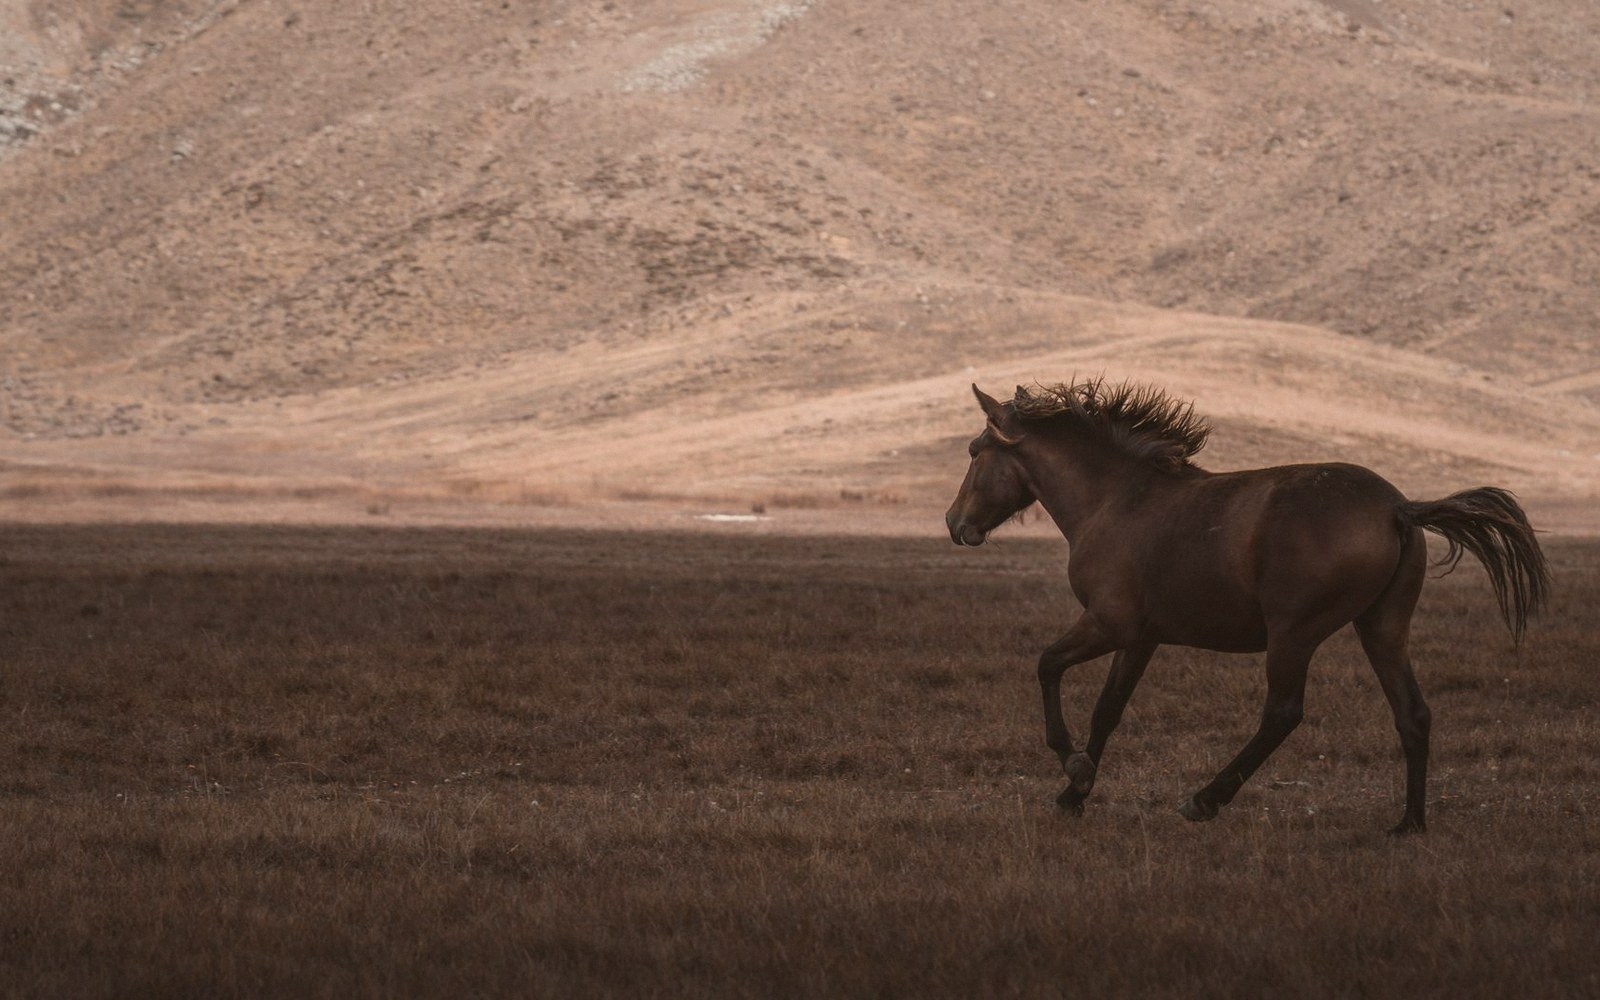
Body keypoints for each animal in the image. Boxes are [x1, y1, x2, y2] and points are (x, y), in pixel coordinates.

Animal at [945, 379, 1550, 833]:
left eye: (975, 453)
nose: (954, 524)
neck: (1115, 502)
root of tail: (1398, 508)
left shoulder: (1108, 624)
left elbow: (1047, 666)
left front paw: (1072, 767)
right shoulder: (1141, 637)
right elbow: (1108, 709)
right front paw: (1077, 791)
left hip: (1294, 634)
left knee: (1282, 713)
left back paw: (1205, 800)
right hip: (1382, 627)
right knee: (1413, 714)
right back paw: (1409, 824)